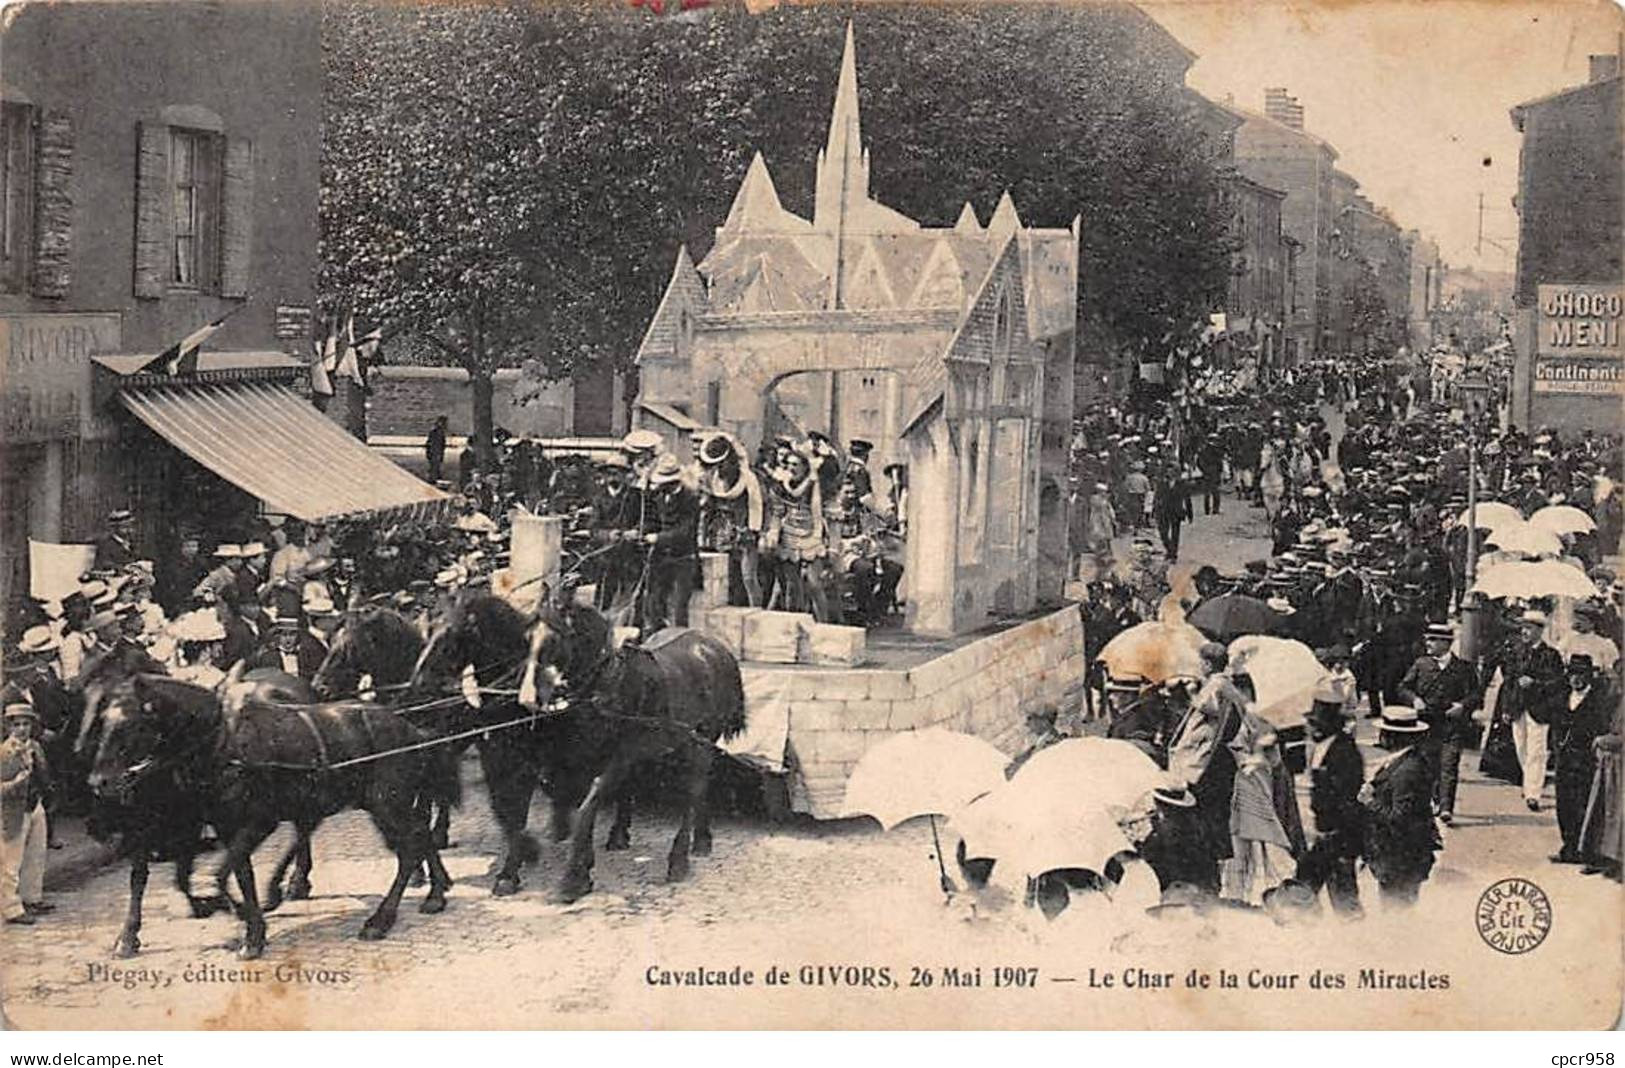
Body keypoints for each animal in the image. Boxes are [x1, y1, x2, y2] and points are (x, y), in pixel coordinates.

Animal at [86, 669, 461, 955]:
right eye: (101, 723)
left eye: (132, 725)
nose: (99, 782)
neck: (223, 744)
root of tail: (410, 729)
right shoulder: (219, 826)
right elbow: (236, 873)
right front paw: (251, 926)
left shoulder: (257, 822)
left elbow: (221, 874)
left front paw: (242, 919)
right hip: (382, 804)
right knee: (418, 834)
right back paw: (435, 893)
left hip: (387, 803)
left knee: (408, 849)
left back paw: (379, 920)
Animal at [416, 588, 750, 903]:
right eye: (527, 639)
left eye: (453, 632)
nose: (419, 680)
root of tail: (713, 646)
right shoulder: (520, 756)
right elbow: (512, 811)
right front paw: (521, 865)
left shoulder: (598, 759)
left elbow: (581, 807)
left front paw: (571, 875)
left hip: (699, 744)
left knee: (694, 791)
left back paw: (684, 855)